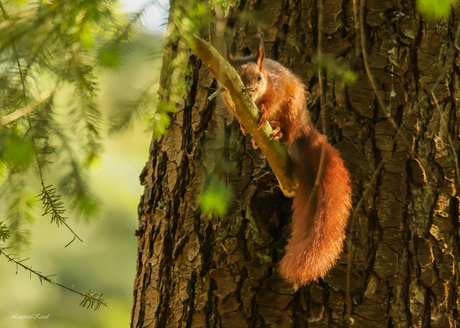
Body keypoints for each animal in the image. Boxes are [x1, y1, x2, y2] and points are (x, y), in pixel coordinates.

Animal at [225, 42, 350, 286]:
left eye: (259, 77)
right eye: (237, 76)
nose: (250, 91)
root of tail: (303, 124)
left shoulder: (277, 89)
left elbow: (271, 102)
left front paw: (264, 112)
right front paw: (244, 126)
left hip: (292, 109)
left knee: (287, 131)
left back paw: (277, 130)